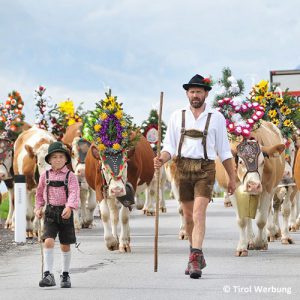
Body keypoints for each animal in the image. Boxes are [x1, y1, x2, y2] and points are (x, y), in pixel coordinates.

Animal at [216, 120, 284, 256]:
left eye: (263, 162)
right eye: (240, 162)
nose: (253, 186)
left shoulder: (267, 189)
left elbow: (261, 220)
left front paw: (259, 242)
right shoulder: (233, 191)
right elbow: (242, 220)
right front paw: (242, 247)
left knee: (268, 211)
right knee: (248, 217)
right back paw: (250, 240)